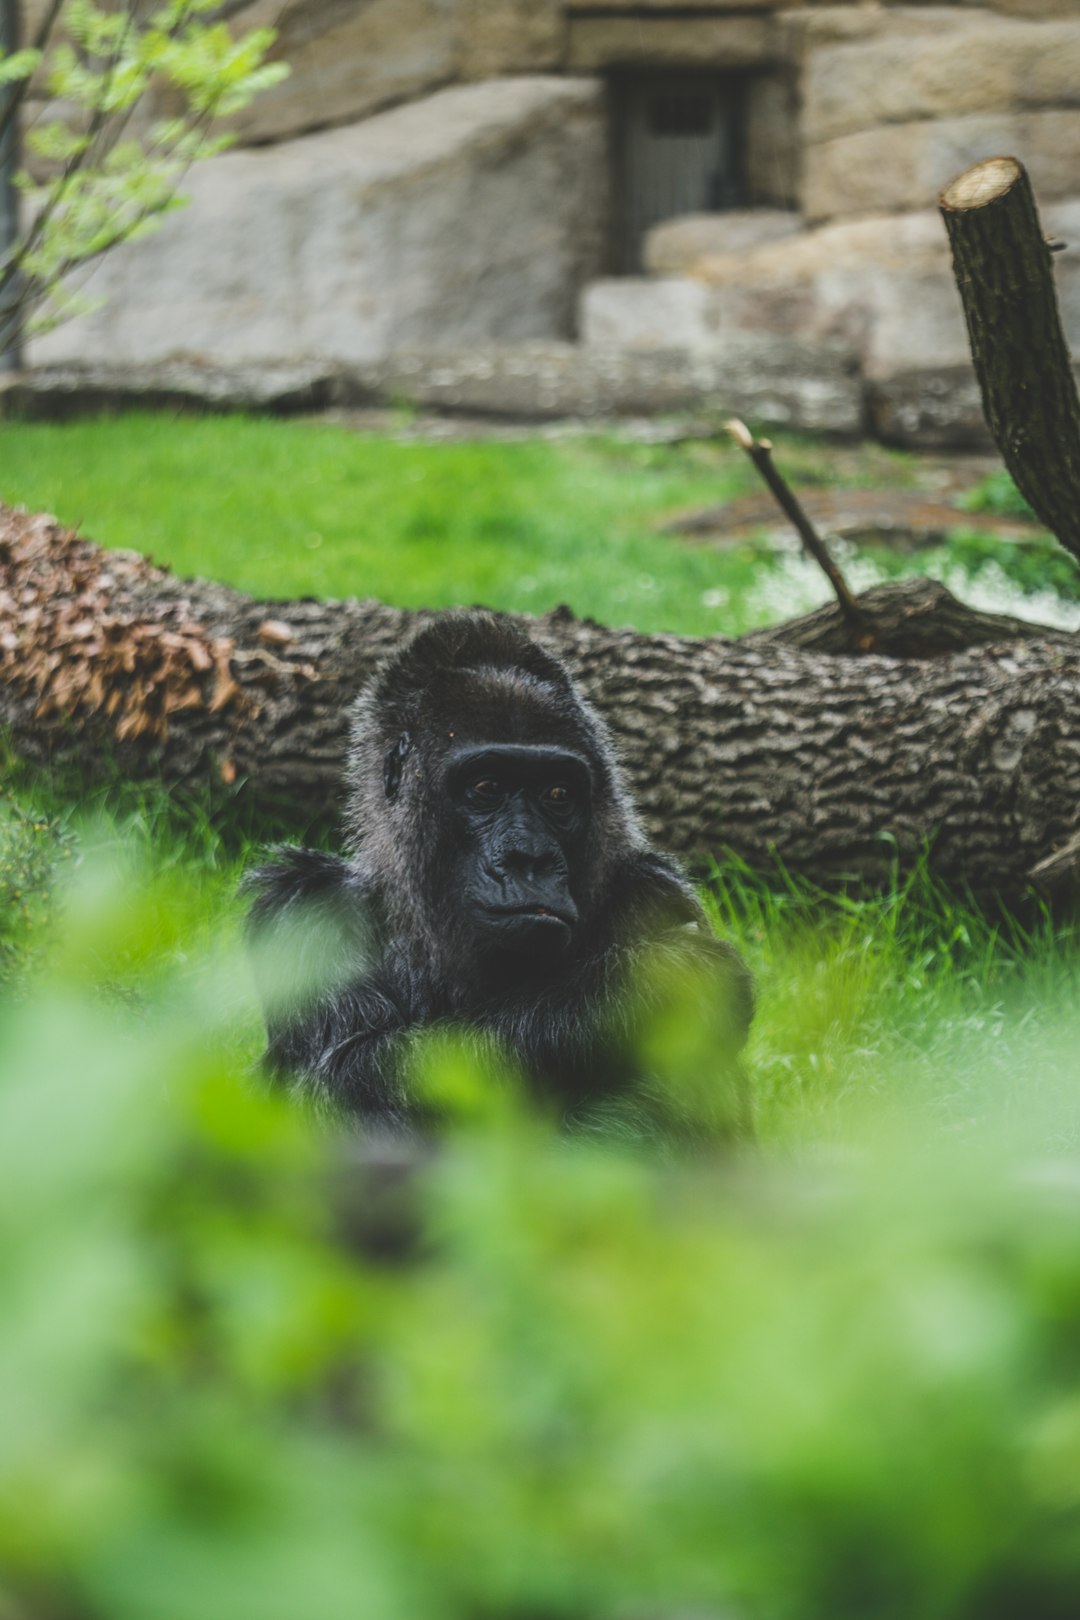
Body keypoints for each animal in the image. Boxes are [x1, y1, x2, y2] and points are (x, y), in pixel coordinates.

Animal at [244, 609, 751, 1140]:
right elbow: (340, 1074)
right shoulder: (305, 906)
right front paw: (637, 991)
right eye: (487, 787)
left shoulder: (650, 890)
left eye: (557, 794)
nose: (529, 857)